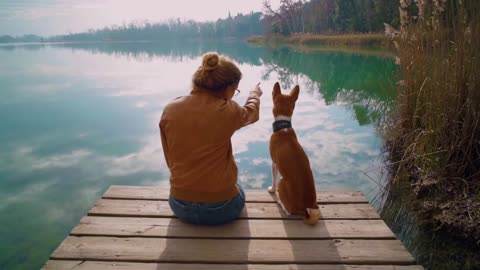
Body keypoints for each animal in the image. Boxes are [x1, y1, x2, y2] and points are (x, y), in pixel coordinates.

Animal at [268, 82, 320, 226]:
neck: (283, 127)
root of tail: (306, 206)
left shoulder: (274, 163)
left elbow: (273, 180)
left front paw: (272, 190)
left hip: (282, 182)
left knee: (288, 211)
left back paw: (280, 202)